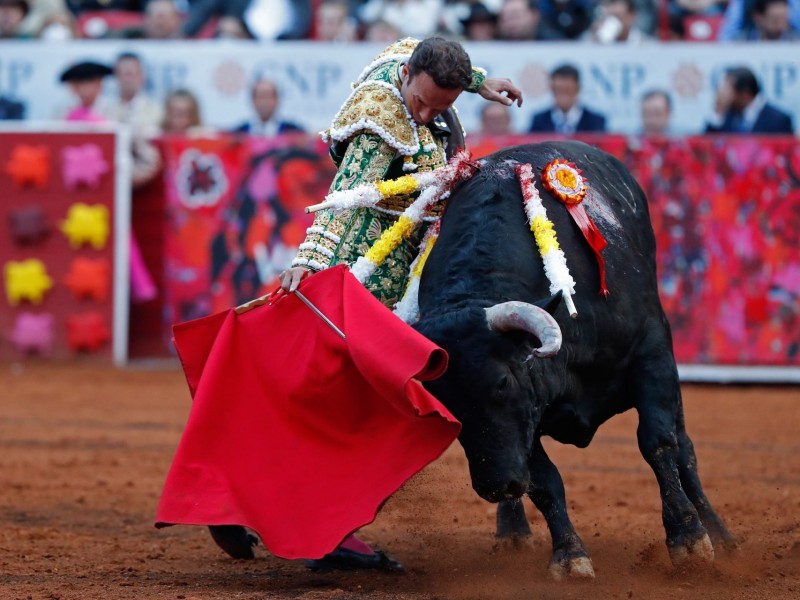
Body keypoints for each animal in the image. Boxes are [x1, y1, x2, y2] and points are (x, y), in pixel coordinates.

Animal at [416, 143, 736, 580]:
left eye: (502, 382)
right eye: (440, 401)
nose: (495, 485)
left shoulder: (652, 353)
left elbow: (659, 442)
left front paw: (688, 538)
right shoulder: (528, 415)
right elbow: (544, 480)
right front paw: (570, 556)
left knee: (685, 447)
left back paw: (719, 535)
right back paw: (512, 532)